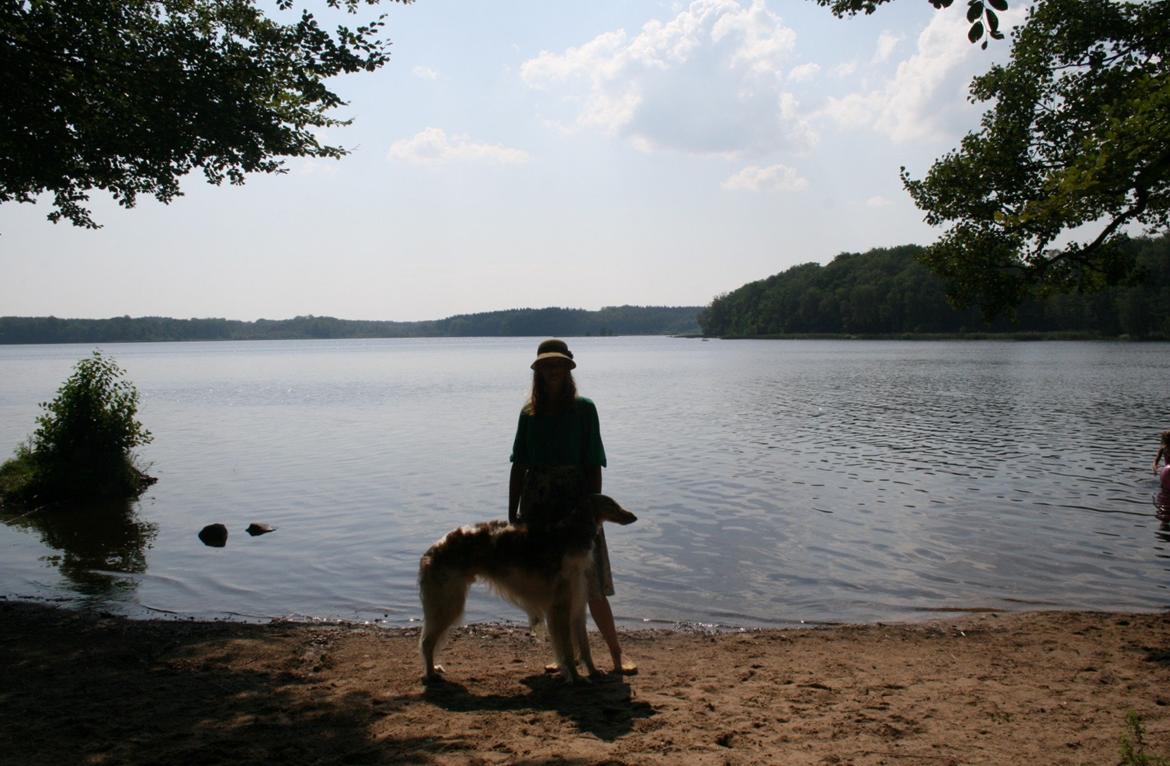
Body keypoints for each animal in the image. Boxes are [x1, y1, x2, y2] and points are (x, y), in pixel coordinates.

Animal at [421, 498, 636, 682]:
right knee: (426, 642)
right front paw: (575, 677)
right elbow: (567, 649)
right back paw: (431, 673)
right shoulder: (561, 607)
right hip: (449, 604)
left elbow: (584, 646)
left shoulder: (577, 605)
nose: (633, 516)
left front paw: (593, 671)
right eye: (611, 504)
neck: (570, 538)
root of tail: (431, 551)